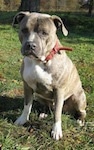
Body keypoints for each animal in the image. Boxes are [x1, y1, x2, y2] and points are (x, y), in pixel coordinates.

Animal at [12, 12, 86, 141]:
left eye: (44, 33)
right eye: (24, 30)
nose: (30, 45)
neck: (39, 61)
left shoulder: (59, 90)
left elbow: (57, 114)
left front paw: (56, 131)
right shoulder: (27, 86)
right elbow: (27, 105)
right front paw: (22, 120)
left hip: (78, 97)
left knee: (81, 111)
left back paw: (80, 121)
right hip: (40, 96)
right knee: (48, 106)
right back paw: (44, 113)